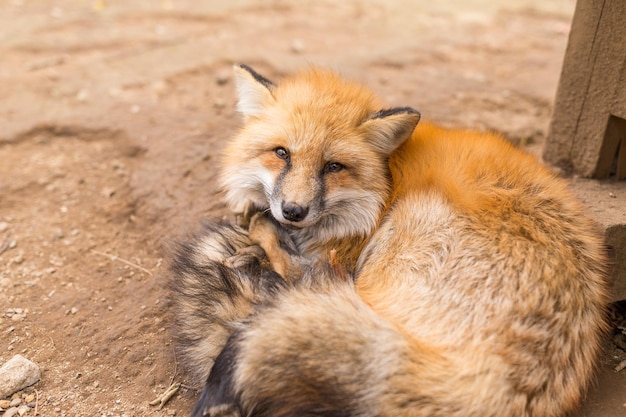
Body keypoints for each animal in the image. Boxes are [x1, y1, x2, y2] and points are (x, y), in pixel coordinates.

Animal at [168, 64, 608, 416]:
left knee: (299, 285)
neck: (386, 182)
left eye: (333, 167)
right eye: (281, 153)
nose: (293, 211)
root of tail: (490, 386)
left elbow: (290, 253)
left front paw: (255, 235)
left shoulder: (346, 249)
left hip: (405, 228)